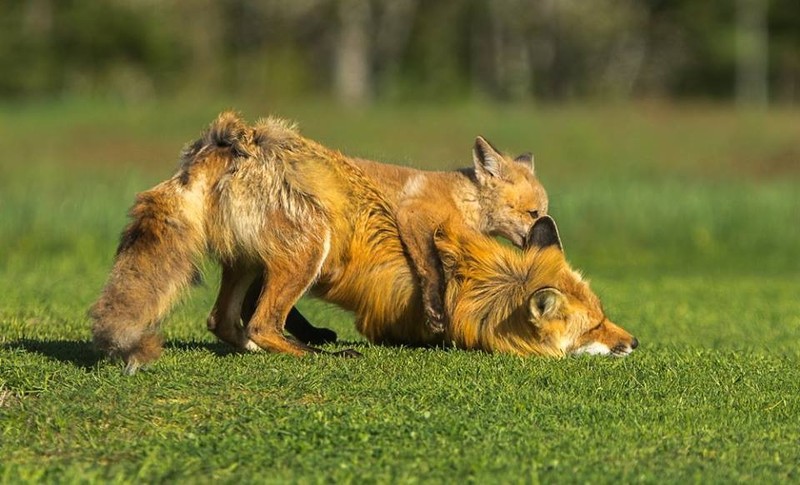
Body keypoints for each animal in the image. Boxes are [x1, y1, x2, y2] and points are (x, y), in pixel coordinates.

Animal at [89, 112, 636, 370]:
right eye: (533, 211)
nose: (547, 225)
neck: (463, 199)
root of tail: (230, 143)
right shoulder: (418, 220)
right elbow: (430, 272)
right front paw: (436, 312)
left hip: (251, 259)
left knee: (228, 320)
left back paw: (278, 342)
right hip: (311, 246)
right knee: (262, 321)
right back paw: (313, 352)